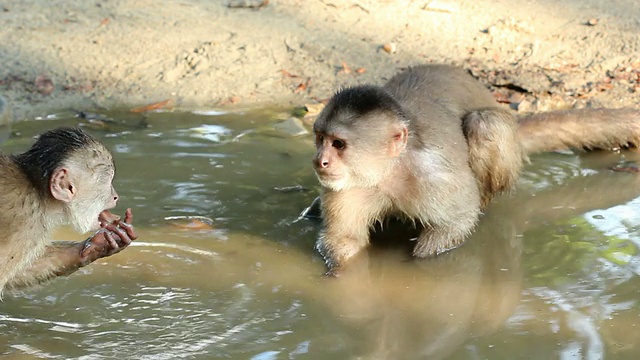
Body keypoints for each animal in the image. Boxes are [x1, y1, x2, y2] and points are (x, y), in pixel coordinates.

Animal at [312, 63, 640, 274]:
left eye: (338, 144)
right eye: (320, 139)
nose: (320, 161)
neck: (388, 171)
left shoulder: (433, 178)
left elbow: (456, 221)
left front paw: (415, 266)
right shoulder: (345, 186)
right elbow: (345, 241)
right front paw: (338, 273)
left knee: (484, 123)